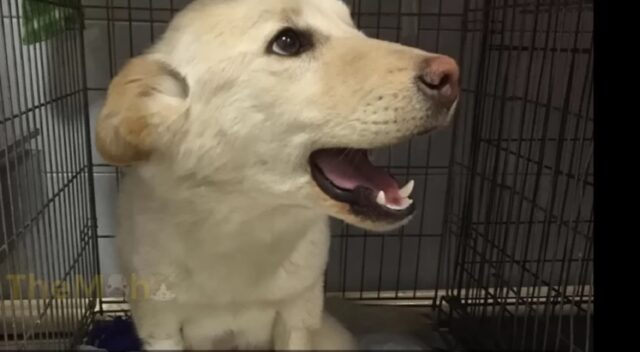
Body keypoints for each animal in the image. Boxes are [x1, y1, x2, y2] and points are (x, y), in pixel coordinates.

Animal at [96, 0, 460, 348]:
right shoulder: (160, 329)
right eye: (287, 42)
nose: (451, 75)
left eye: (352, 25)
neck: (240, 226)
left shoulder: (297, 316)